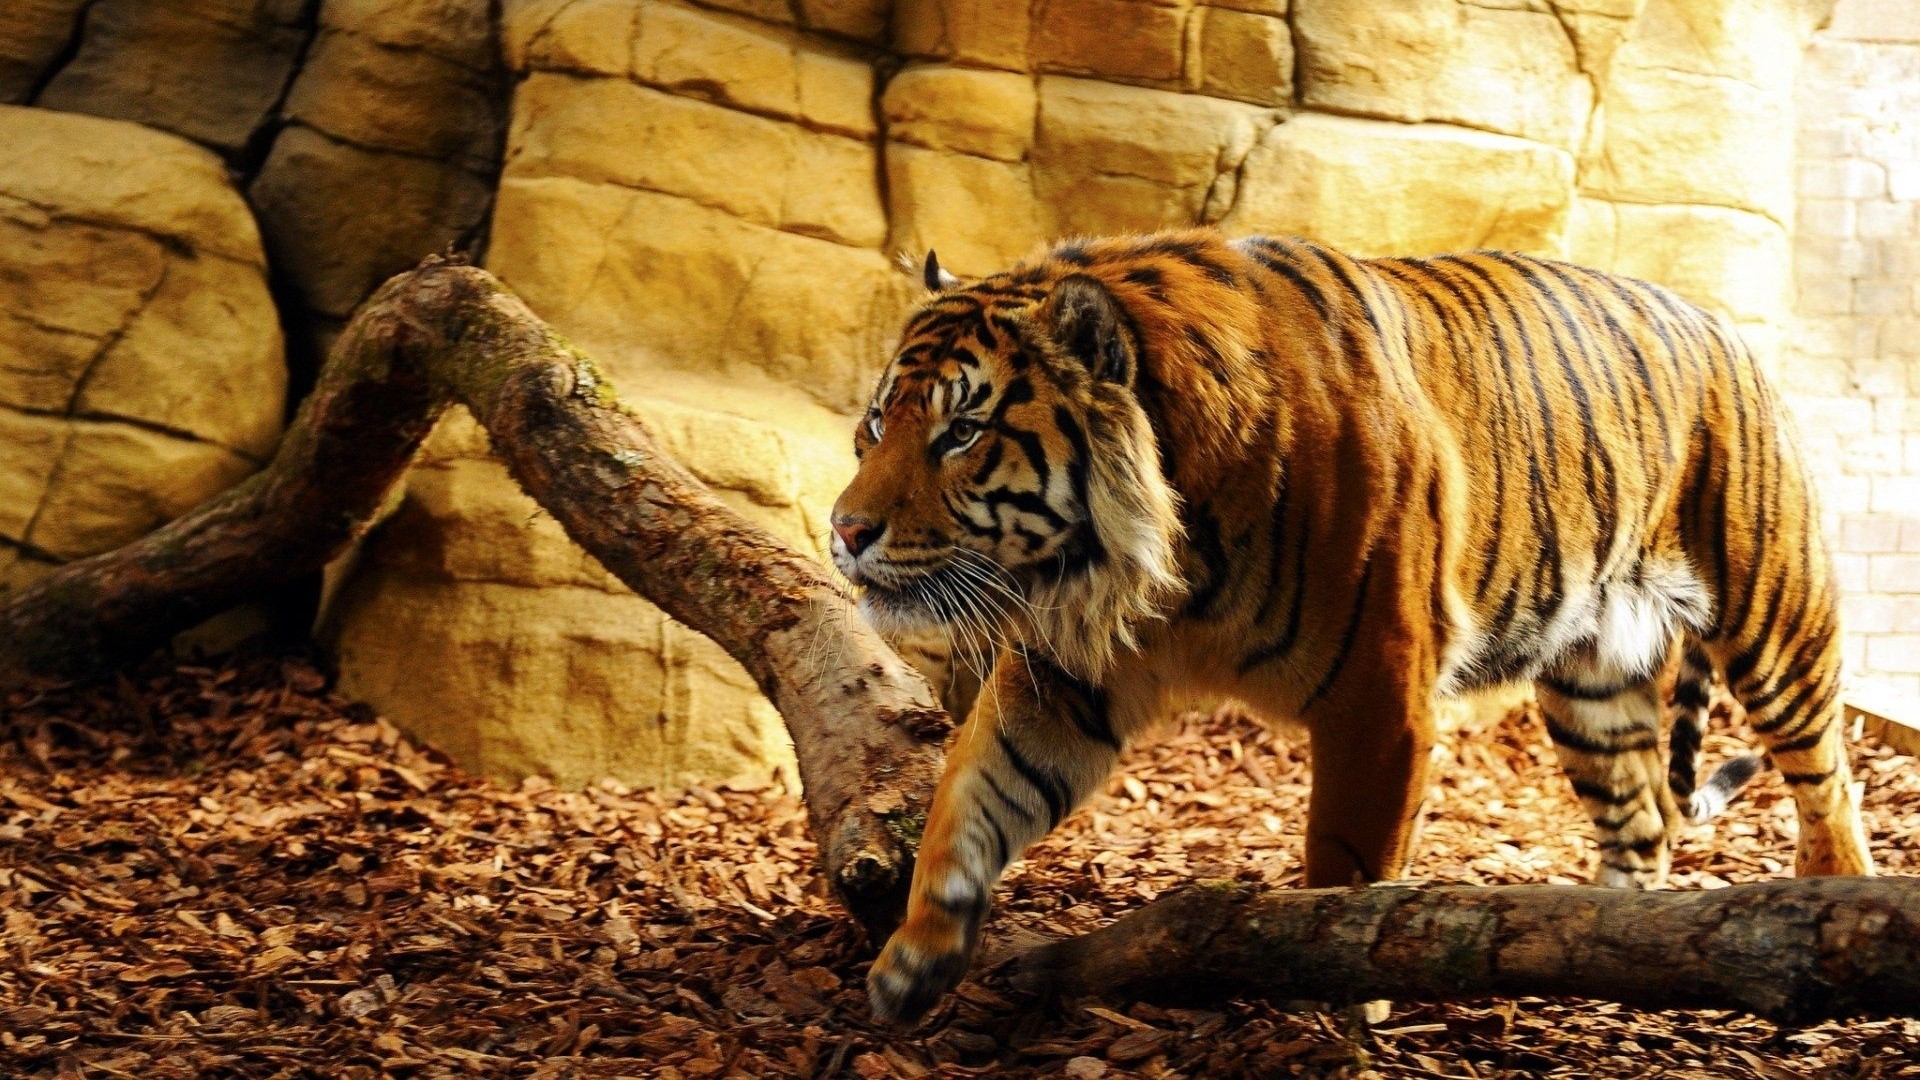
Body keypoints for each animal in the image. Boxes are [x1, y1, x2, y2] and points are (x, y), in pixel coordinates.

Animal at [829, 229, 1877, 1023]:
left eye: (961, 434)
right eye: (877, 423)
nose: (843, 531)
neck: (1151, 561)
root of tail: (1723, 326)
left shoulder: (1378, 696)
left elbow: (1341, 869)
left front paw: (1331, 1003)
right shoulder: (1064, 674)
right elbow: (971, 793)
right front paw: (914, 958)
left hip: (1775, 618)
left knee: (1828, 778)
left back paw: (1830, 896)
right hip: (1592, 681)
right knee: (1644, 818)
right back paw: (1599, 942)